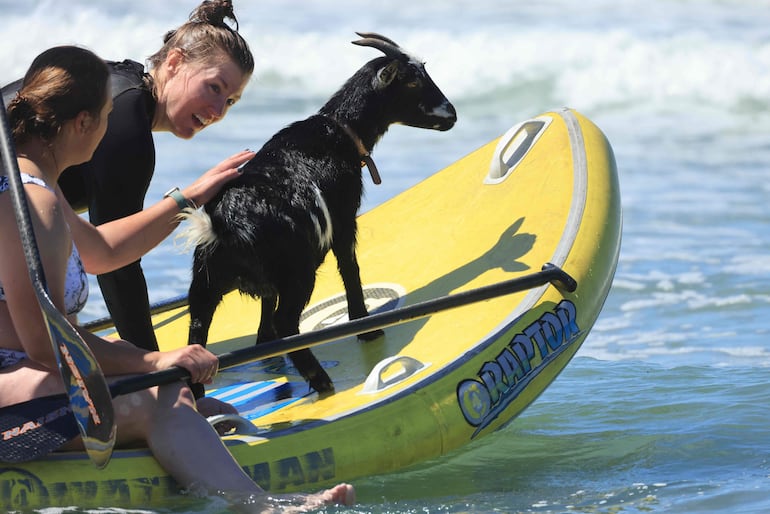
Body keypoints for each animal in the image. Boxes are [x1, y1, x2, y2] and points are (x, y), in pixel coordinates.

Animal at [182, 33, 452, 392]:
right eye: (411, 81)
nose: (451, 114)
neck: (338, 132)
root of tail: (225, 224)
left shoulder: (271, 280)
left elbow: (266, 307)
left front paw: (264, 345)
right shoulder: (343, 219)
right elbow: (350, 267)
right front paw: (366, 328)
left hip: (206, 279)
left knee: (197, 329)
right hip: (297, 270)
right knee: (286, 321)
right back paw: (321, 381)